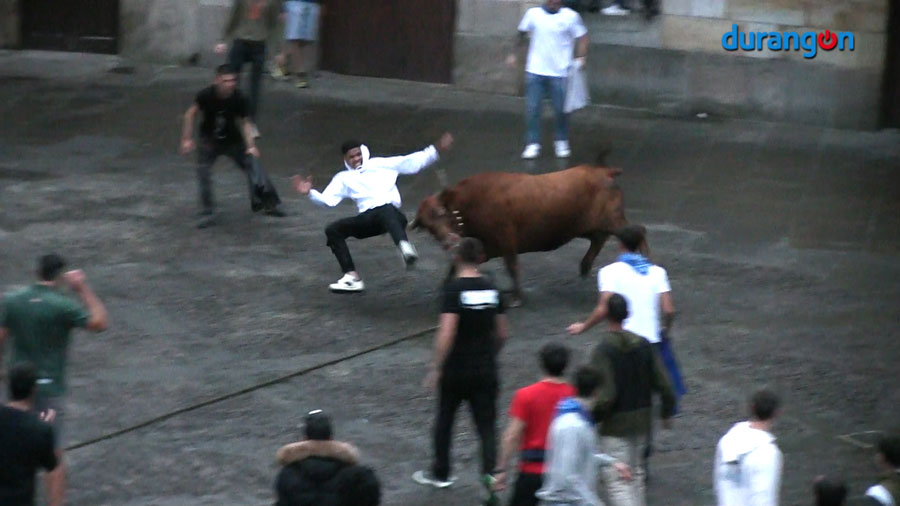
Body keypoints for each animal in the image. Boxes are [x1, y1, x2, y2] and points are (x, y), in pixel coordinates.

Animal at [414, 163, 628, 304]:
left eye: (440, 212)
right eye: (427, 226)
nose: (448, 241)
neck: (472, 201)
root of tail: (602, 171)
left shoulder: (505, 239)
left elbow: (512, 266)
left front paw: (516, 297)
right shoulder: (490, 245)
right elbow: (459, 262)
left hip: (614, 223)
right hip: (583, 228)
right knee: (598, 238)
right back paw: (585, 266)